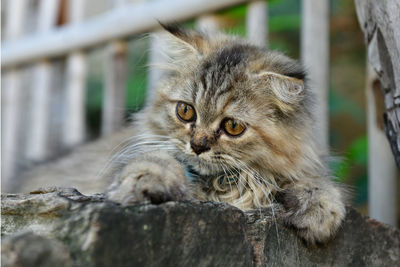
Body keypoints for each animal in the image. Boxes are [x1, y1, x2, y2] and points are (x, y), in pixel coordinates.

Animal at [105, 24, 344, 245]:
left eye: (233, 126)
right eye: (185, 111)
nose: (197, 146)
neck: (221, 186)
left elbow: (314, 181)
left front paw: (321, 209)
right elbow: (155, 160)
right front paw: (145, 183)